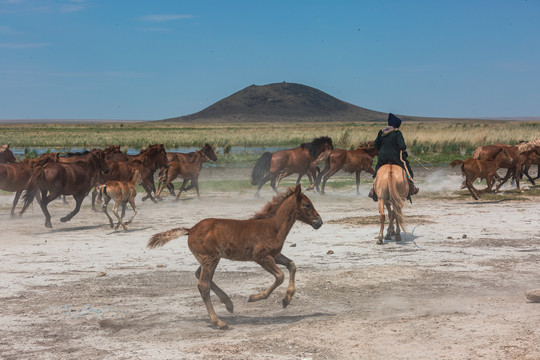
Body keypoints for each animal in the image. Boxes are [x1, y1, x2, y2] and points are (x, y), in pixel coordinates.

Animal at [148, 186, 322, 330]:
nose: (319, 222)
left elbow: (292, 265)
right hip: (211, 258)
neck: (273, 226)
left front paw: (286, 300)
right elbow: (280, 276)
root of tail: (190, 230)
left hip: (208, 258)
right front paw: (255, 297)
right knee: (203, 284)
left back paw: (228, 304)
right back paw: (219, 322)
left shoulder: (275, 255)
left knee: (199, 275)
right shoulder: (261, 256)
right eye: (307, 205)